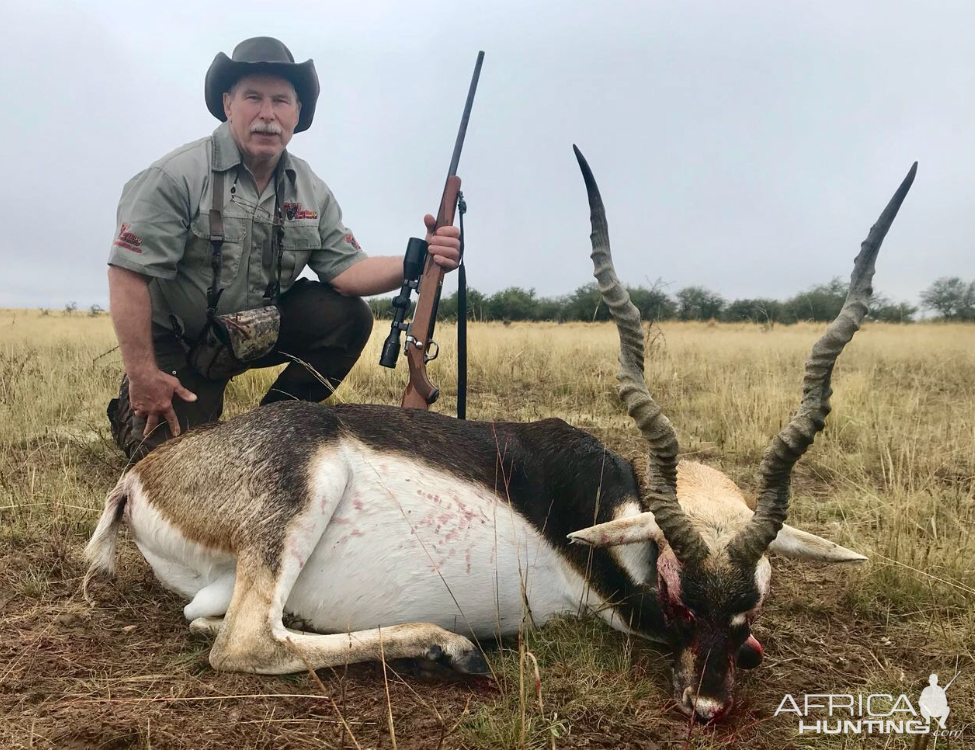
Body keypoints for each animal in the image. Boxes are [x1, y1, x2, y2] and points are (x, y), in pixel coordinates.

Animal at [87, 148, 920, 724]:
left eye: (749, 602)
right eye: (681, 603)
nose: (708, 706)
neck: (609, 496)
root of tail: (142, 476)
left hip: (222, 575)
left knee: (215, 623)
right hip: (300, 494)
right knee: (244, 642)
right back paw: (449, 647)